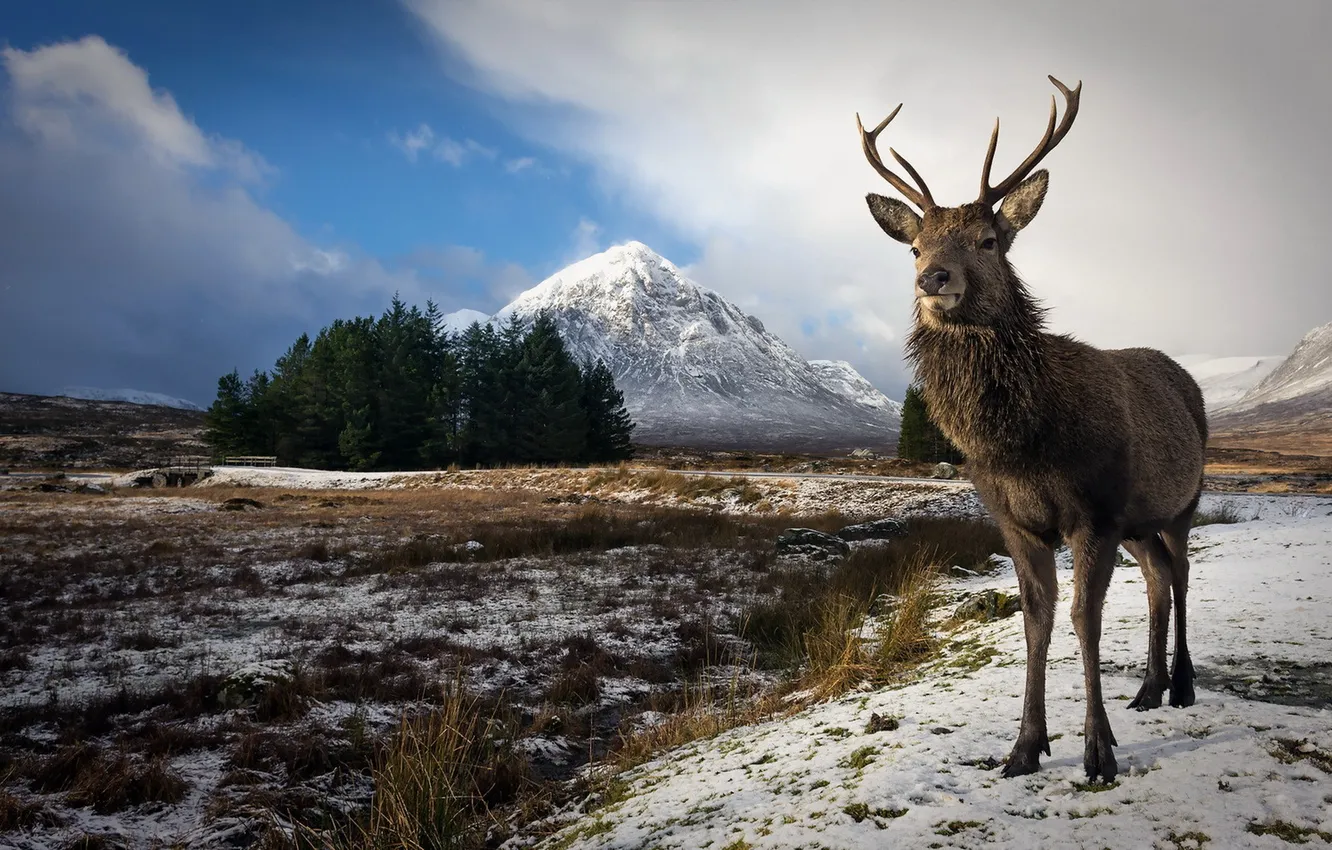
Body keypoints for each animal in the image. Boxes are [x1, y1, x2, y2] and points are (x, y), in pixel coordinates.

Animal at [856, 76, 1207, 783]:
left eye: (989, 240)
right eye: (915, 245)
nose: (932, 278)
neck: (1019, 446)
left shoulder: (1094, 512)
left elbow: (1083, 620)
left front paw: (1098, 751)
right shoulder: (1014, 520)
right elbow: (1036, 621)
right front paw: (1024, 746)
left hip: (1182, 500)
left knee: (1181, 573)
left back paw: (1182, 685)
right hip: (1138, 523)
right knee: (1158, 577)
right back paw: (1149, 688)